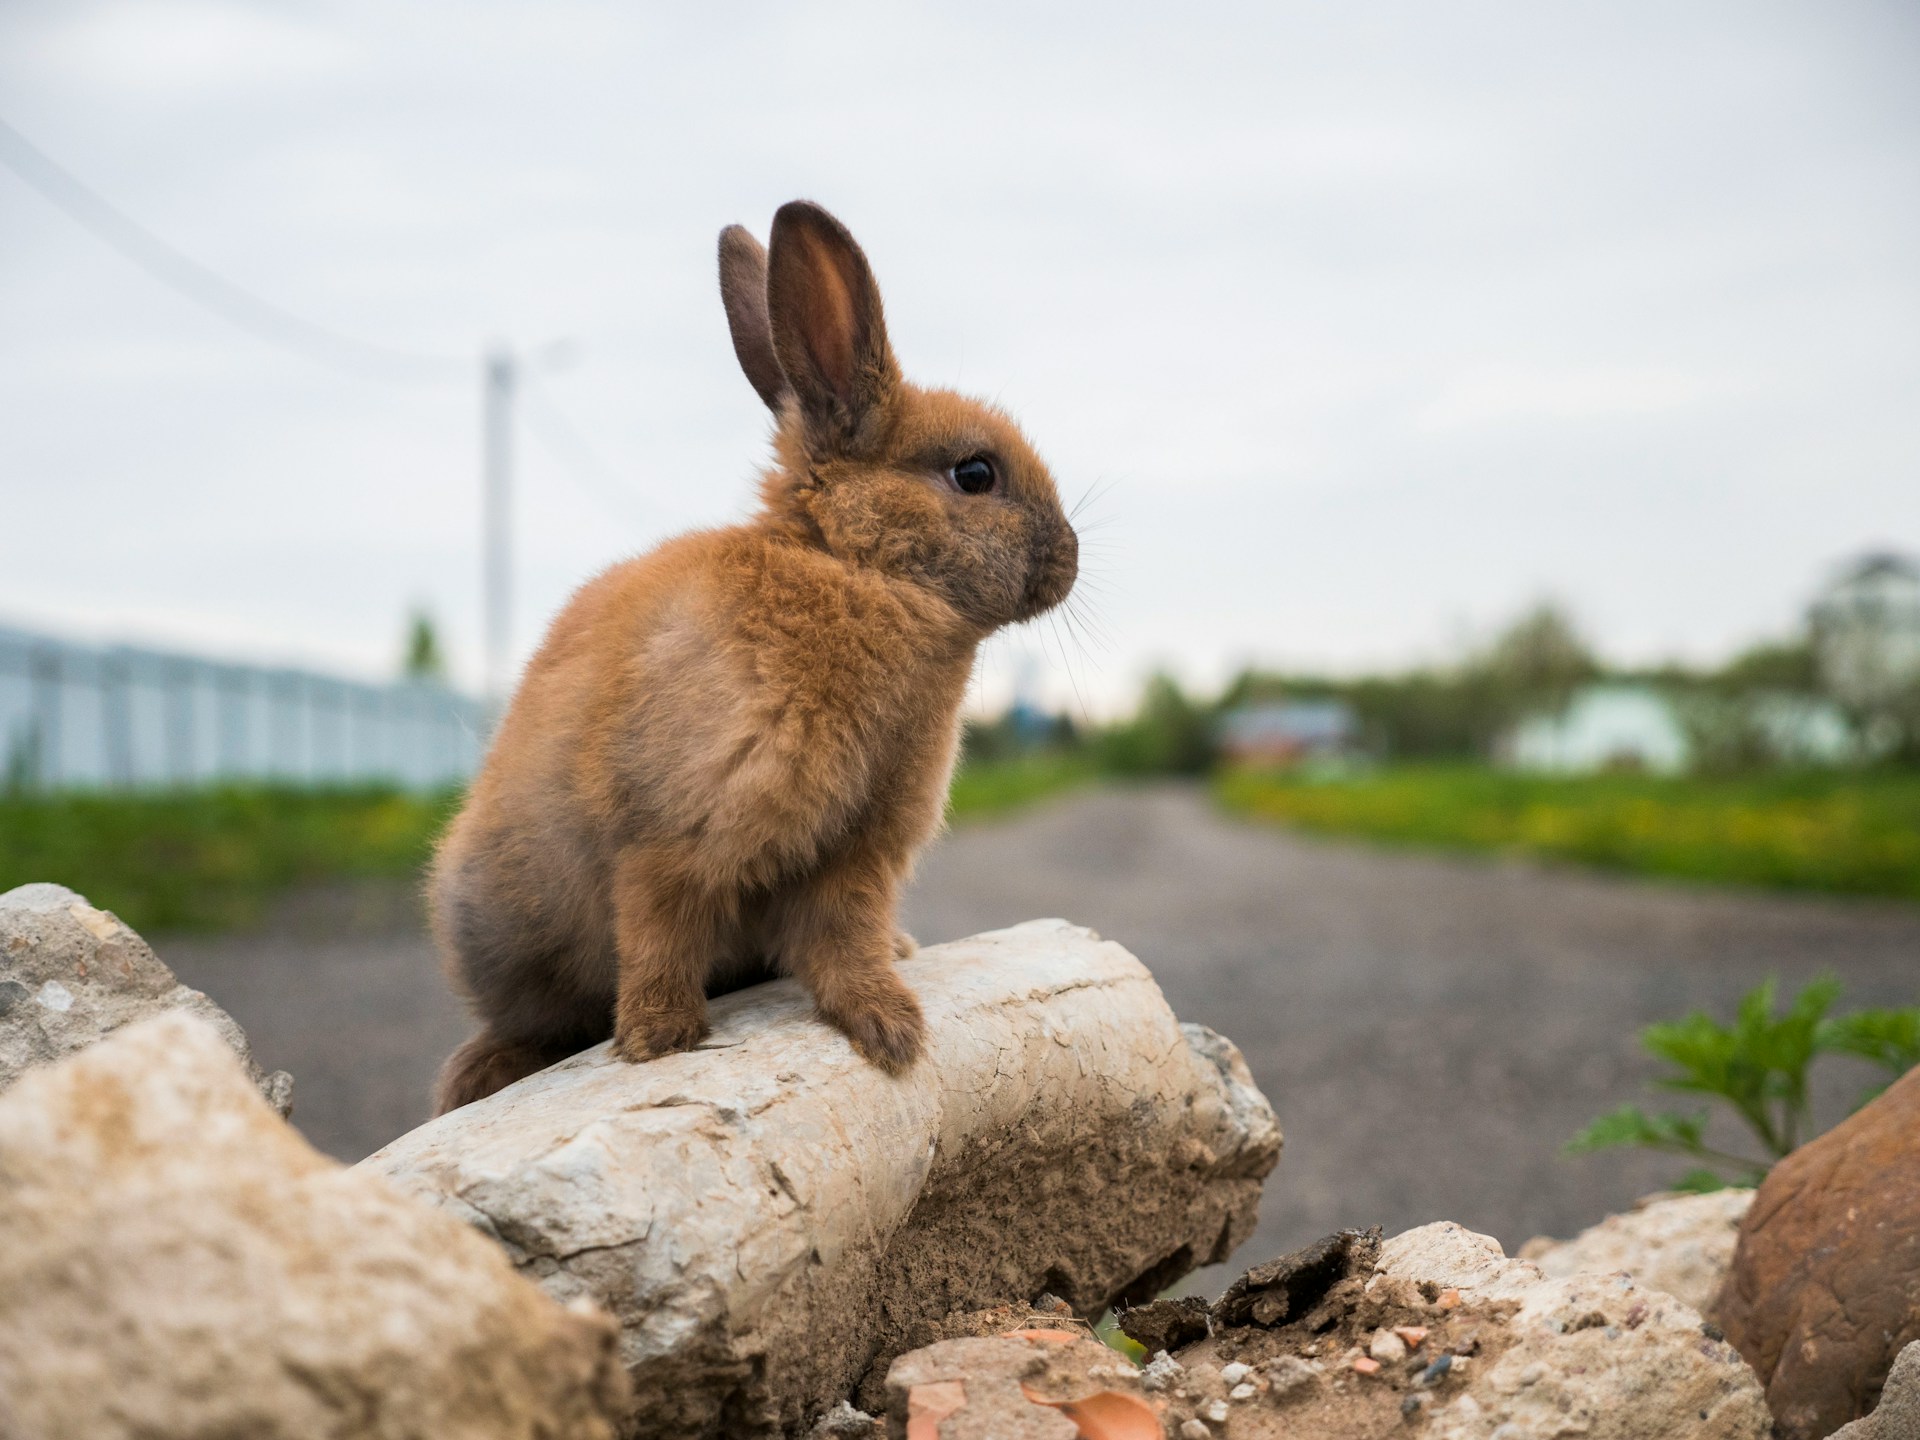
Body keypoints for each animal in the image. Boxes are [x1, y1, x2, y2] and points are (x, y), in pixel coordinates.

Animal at [429, 200, 1078, 1114]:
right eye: (975, 474)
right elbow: (660, 931)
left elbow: (845, 941)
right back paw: (486, 1071)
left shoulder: (857, 854)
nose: (1071, 559)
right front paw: (660, 1040)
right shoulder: (670, 834)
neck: (851, 570)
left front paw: (888, 1026)